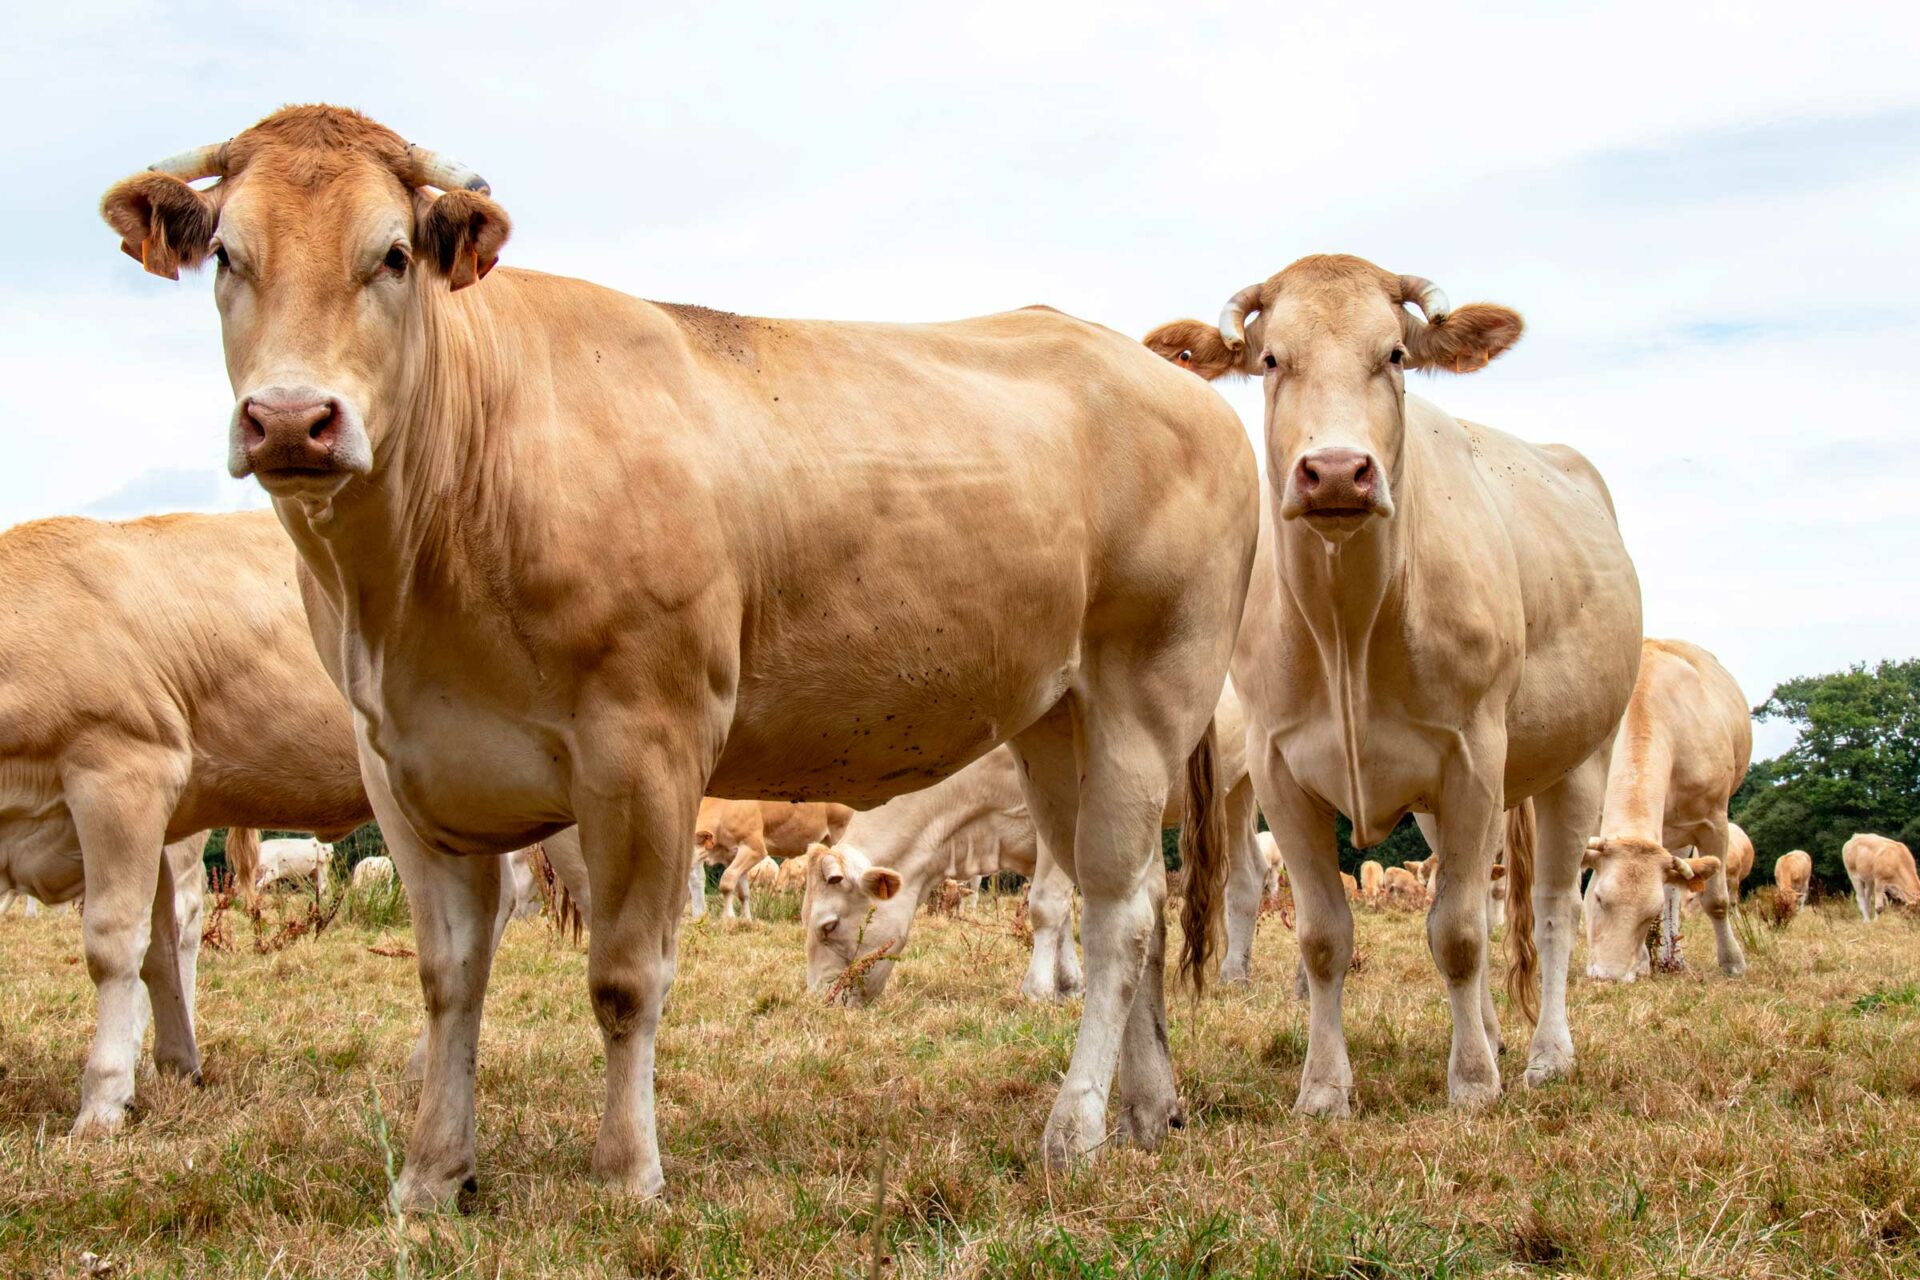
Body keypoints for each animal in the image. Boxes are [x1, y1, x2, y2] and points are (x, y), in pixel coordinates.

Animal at [102, 105, 1256, 1203]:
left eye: (391, 254)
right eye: (226, 255)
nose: (292, 418)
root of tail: (1172, 379)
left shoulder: (645, 746)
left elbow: (624, 978)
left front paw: (627, 1170)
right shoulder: (405, 767)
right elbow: (449, 978)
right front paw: (432, 1174)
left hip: (1147, 691)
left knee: (1117, 917)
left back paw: (1074, 1127)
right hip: (1060, 723)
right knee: (1130, 902)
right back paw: (1146, 1107)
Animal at [1148, 254, 1642, 1112]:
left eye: (1396, 355)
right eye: (1270, 359)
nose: (1336, 473)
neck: (1351, 627)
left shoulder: (1474, 758)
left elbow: (1459, 934)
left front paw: (1472, 1083)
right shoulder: (1281, 771)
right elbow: (1324, 938)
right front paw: (1323, 1089)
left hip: (1582, 757)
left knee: (1551, 909)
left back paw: (1546, 1052)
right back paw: (1495, 1032)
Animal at [1582, 639, 1751, 981]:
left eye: (1650, 912)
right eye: (1599, 898)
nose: (1610, 976)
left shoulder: (1714, 823)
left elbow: (1716, 900)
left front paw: (1732, 962)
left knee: (1675, 891)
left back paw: (1674, 958)